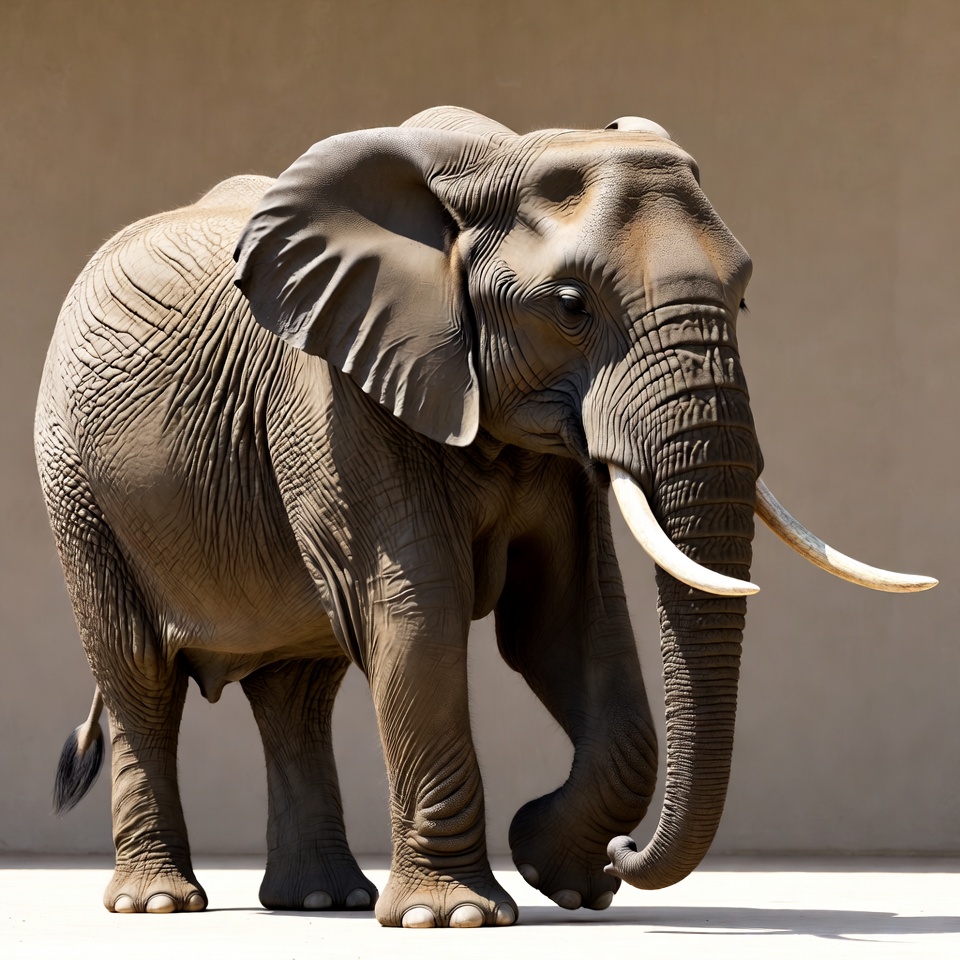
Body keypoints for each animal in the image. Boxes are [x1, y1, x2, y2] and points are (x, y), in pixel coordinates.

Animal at [36, 106, 935, 927]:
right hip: (75, 485)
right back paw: (160, 902)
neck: (493, 160)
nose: (626, 853)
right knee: (138, 675)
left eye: (743, 300)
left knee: (297, 692)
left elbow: (567, 622)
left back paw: (322, 900)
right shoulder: (338, 399)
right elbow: (418, 617)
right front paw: (459, 917)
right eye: (570, 305)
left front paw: (560, 875)